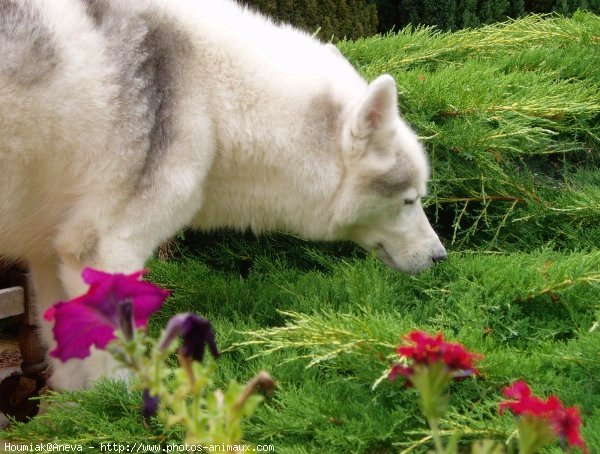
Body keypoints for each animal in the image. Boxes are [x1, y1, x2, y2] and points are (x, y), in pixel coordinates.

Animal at [0, 0, 446, 390]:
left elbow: (71, 373)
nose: (441, 257)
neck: (211, 94)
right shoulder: (105, 252)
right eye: (410, 200)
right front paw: (119, 410)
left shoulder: (52, 257)